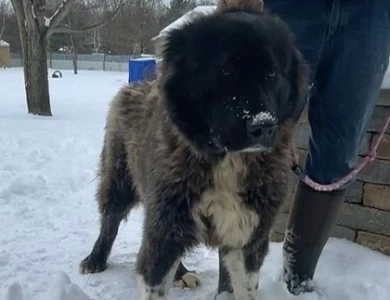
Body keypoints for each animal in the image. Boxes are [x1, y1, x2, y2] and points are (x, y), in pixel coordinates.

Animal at [80, 7, 308, 300]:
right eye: (226, 70)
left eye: (272, 74)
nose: (263, 125)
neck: (226, 160)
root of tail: (136, 84)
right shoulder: (165, 231)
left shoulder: (246, 238)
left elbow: (245, 289)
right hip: (121, 182)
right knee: (110, 220)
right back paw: (96, 259)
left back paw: (181, 273)